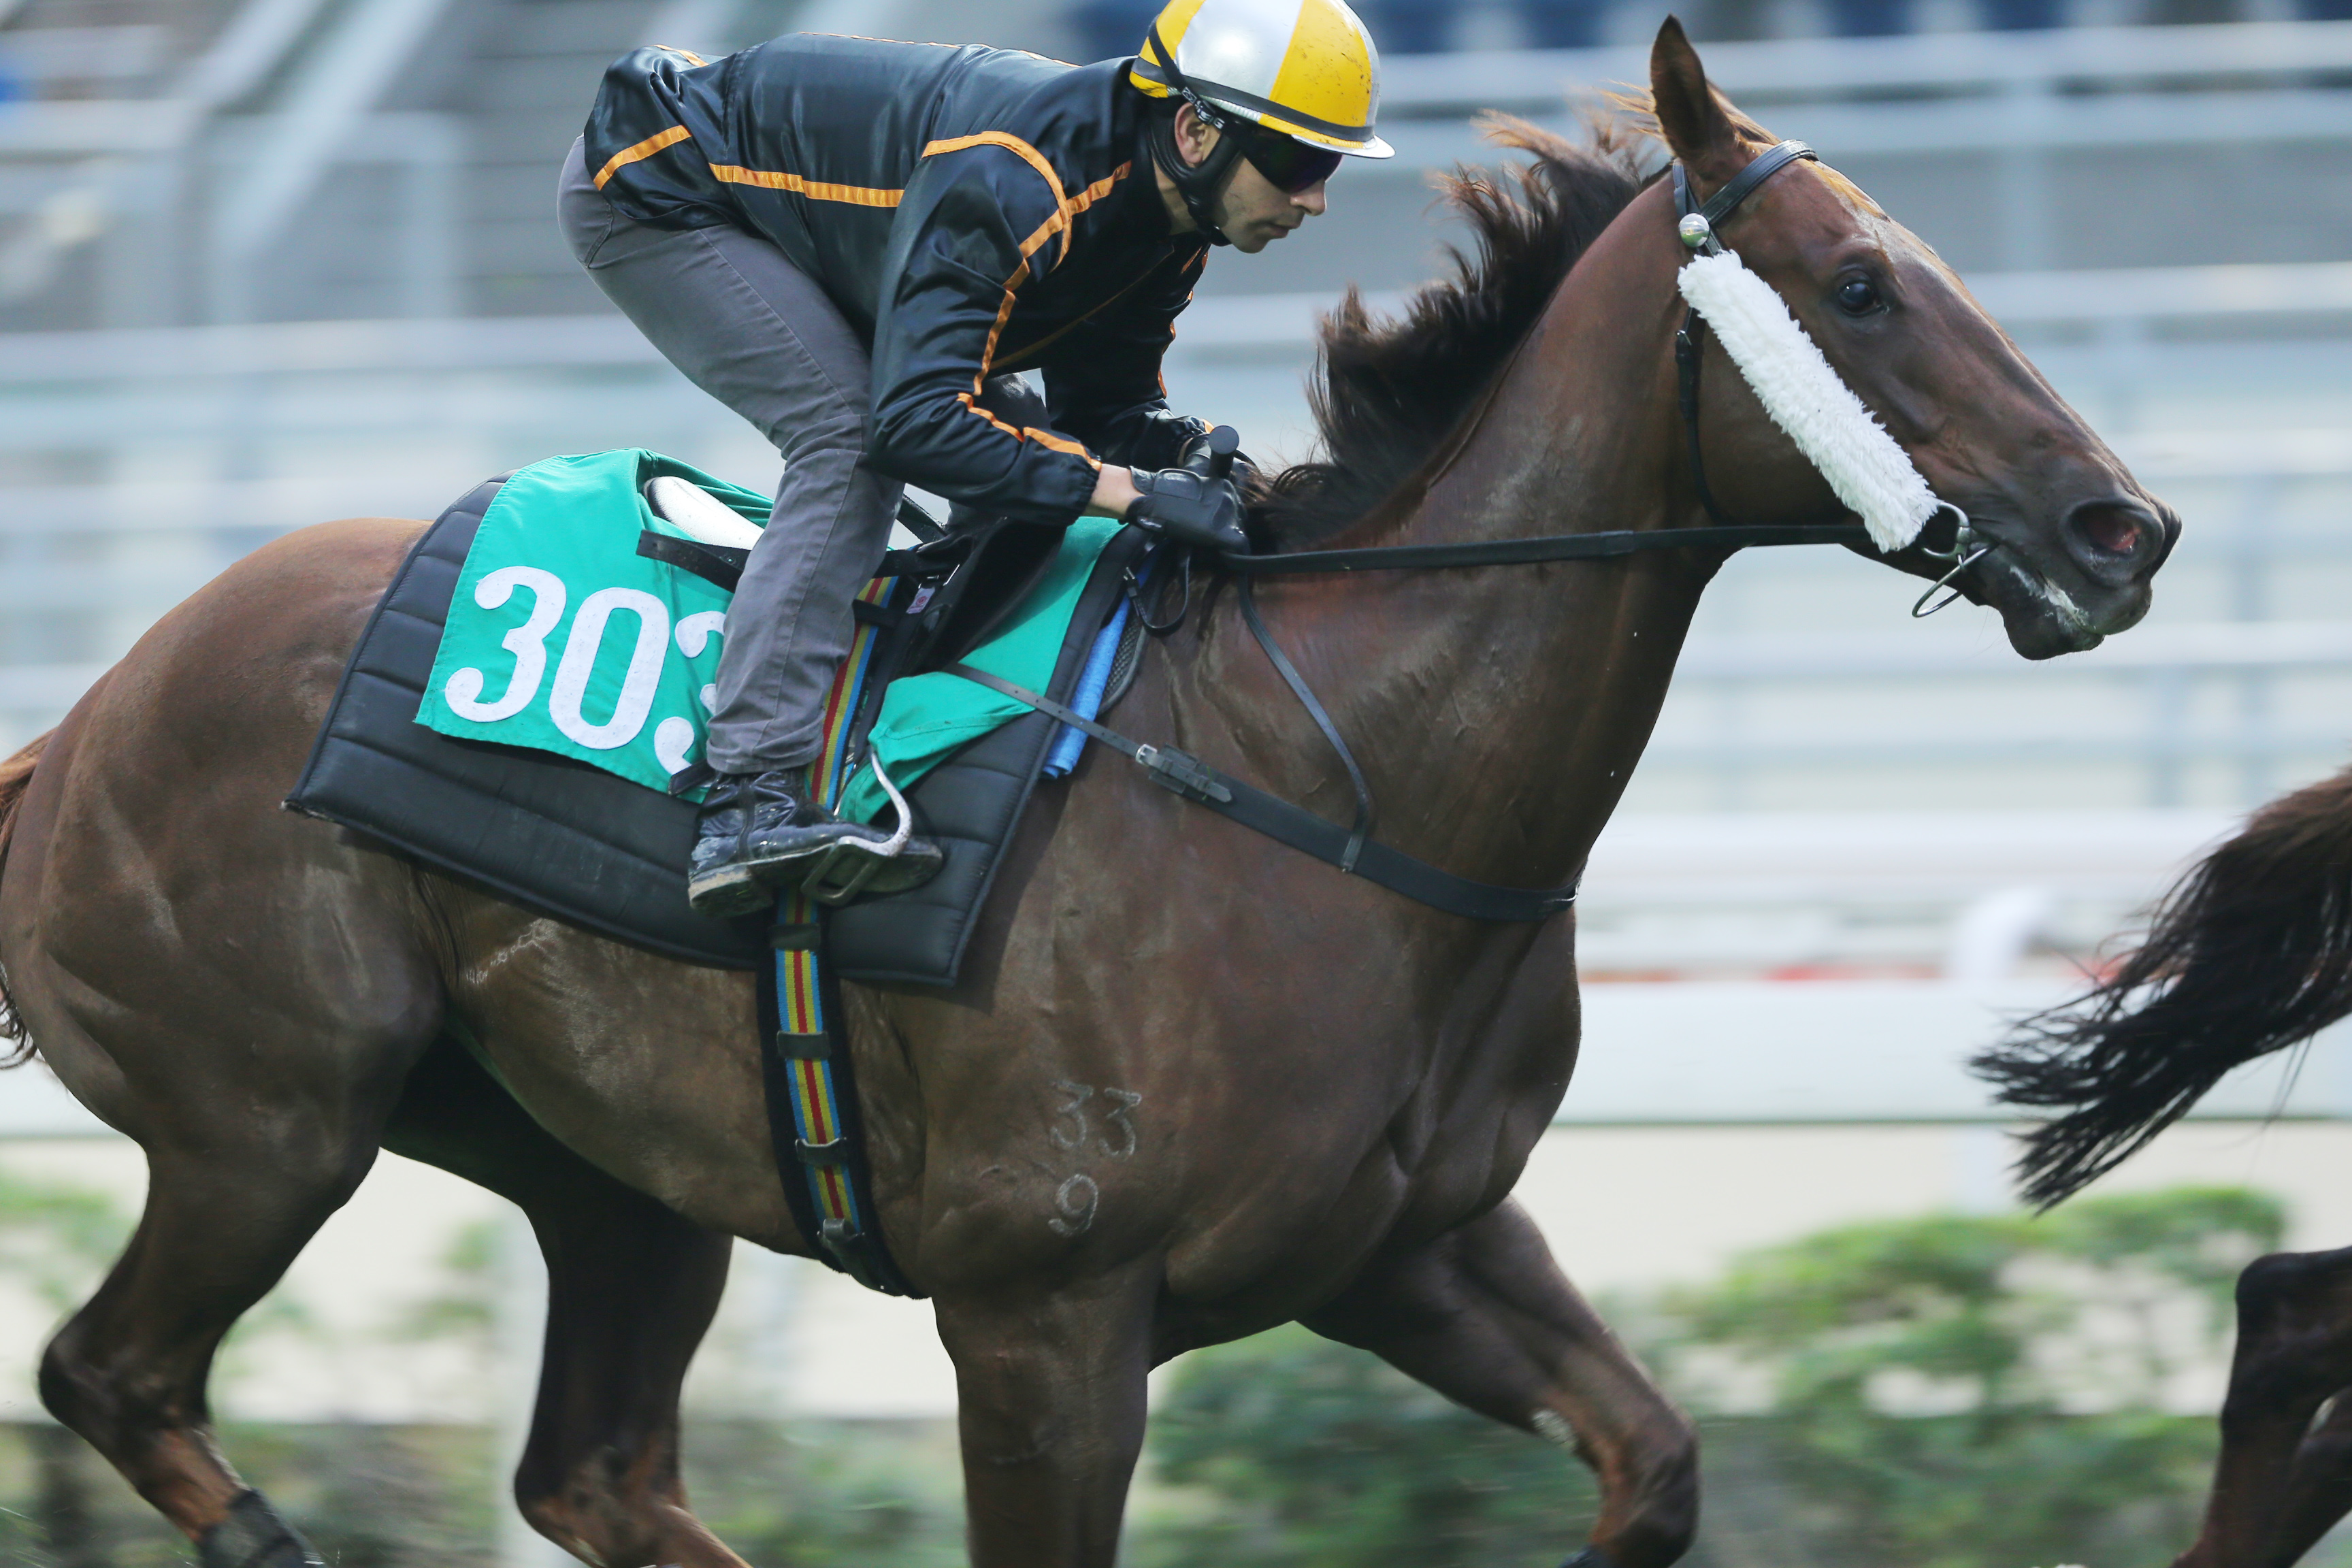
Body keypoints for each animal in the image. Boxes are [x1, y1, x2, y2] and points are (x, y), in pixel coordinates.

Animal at [0, 23, 2175, 1568]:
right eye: (1863, 285)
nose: (2124, 528)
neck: (1336, 774)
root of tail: (84, 718)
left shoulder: (1409, 1248)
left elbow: (1654, 1467)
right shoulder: (1042, 1318)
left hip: (604, 1171)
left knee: (590, 1474)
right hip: (271, 1116)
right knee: (110, 1371)